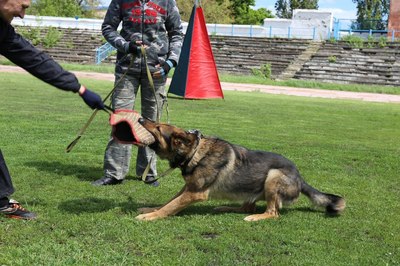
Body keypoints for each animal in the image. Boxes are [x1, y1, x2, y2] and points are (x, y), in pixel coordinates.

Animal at [136, 118, 346, 220]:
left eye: (158, 127)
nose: (140, 119)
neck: (195, 152)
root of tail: (300, 178)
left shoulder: (195, 193)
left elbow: (171, 206)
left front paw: (151, 216)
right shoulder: (188, 188)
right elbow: (169, 201)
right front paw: (151, 209)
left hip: (273, 176)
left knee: (272, 213)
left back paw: (255, 217)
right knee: (247, 206)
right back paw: (226, 207)